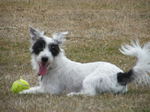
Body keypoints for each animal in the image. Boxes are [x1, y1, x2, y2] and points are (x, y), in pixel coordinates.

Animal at [19, 27, 150, 95]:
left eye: (53, 50)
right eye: (40, 48)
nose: (44, 58)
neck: (53, 65)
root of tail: (121, 75)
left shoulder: (51, 90)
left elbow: (32, 90)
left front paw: (22, 91)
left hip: (89, 80)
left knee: (89, 93)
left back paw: (73, 94)